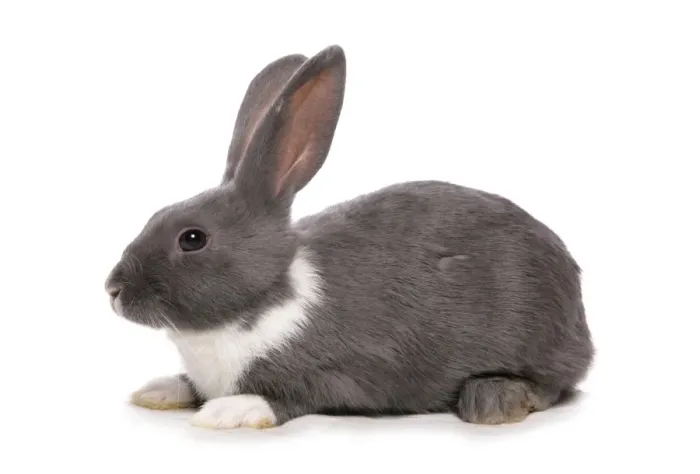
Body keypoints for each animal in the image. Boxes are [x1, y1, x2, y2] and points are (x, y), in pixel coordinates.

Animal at [104, 44, 594, 430]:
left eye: (192, 238)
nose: (113, 289)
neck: (259, 304)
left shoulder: (341, 371)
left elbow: (290, 397)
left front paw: (230, 411)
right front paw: (160, 389)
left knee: (555, 385)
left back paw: (494, 398)